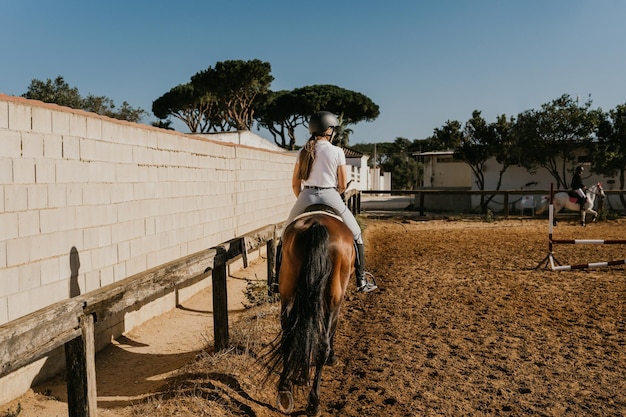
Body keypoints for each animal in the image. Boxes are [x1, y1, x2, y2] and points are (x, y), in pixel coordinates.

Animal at [270, 211, 356, 416]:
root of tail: (317, 225)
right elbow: (332, 330)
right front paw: (333, 359)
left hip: (287, 289)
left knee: (289, 337)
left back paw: (285, 390)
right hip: (333, 294)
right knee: (322, 346)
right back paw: (314, 403)